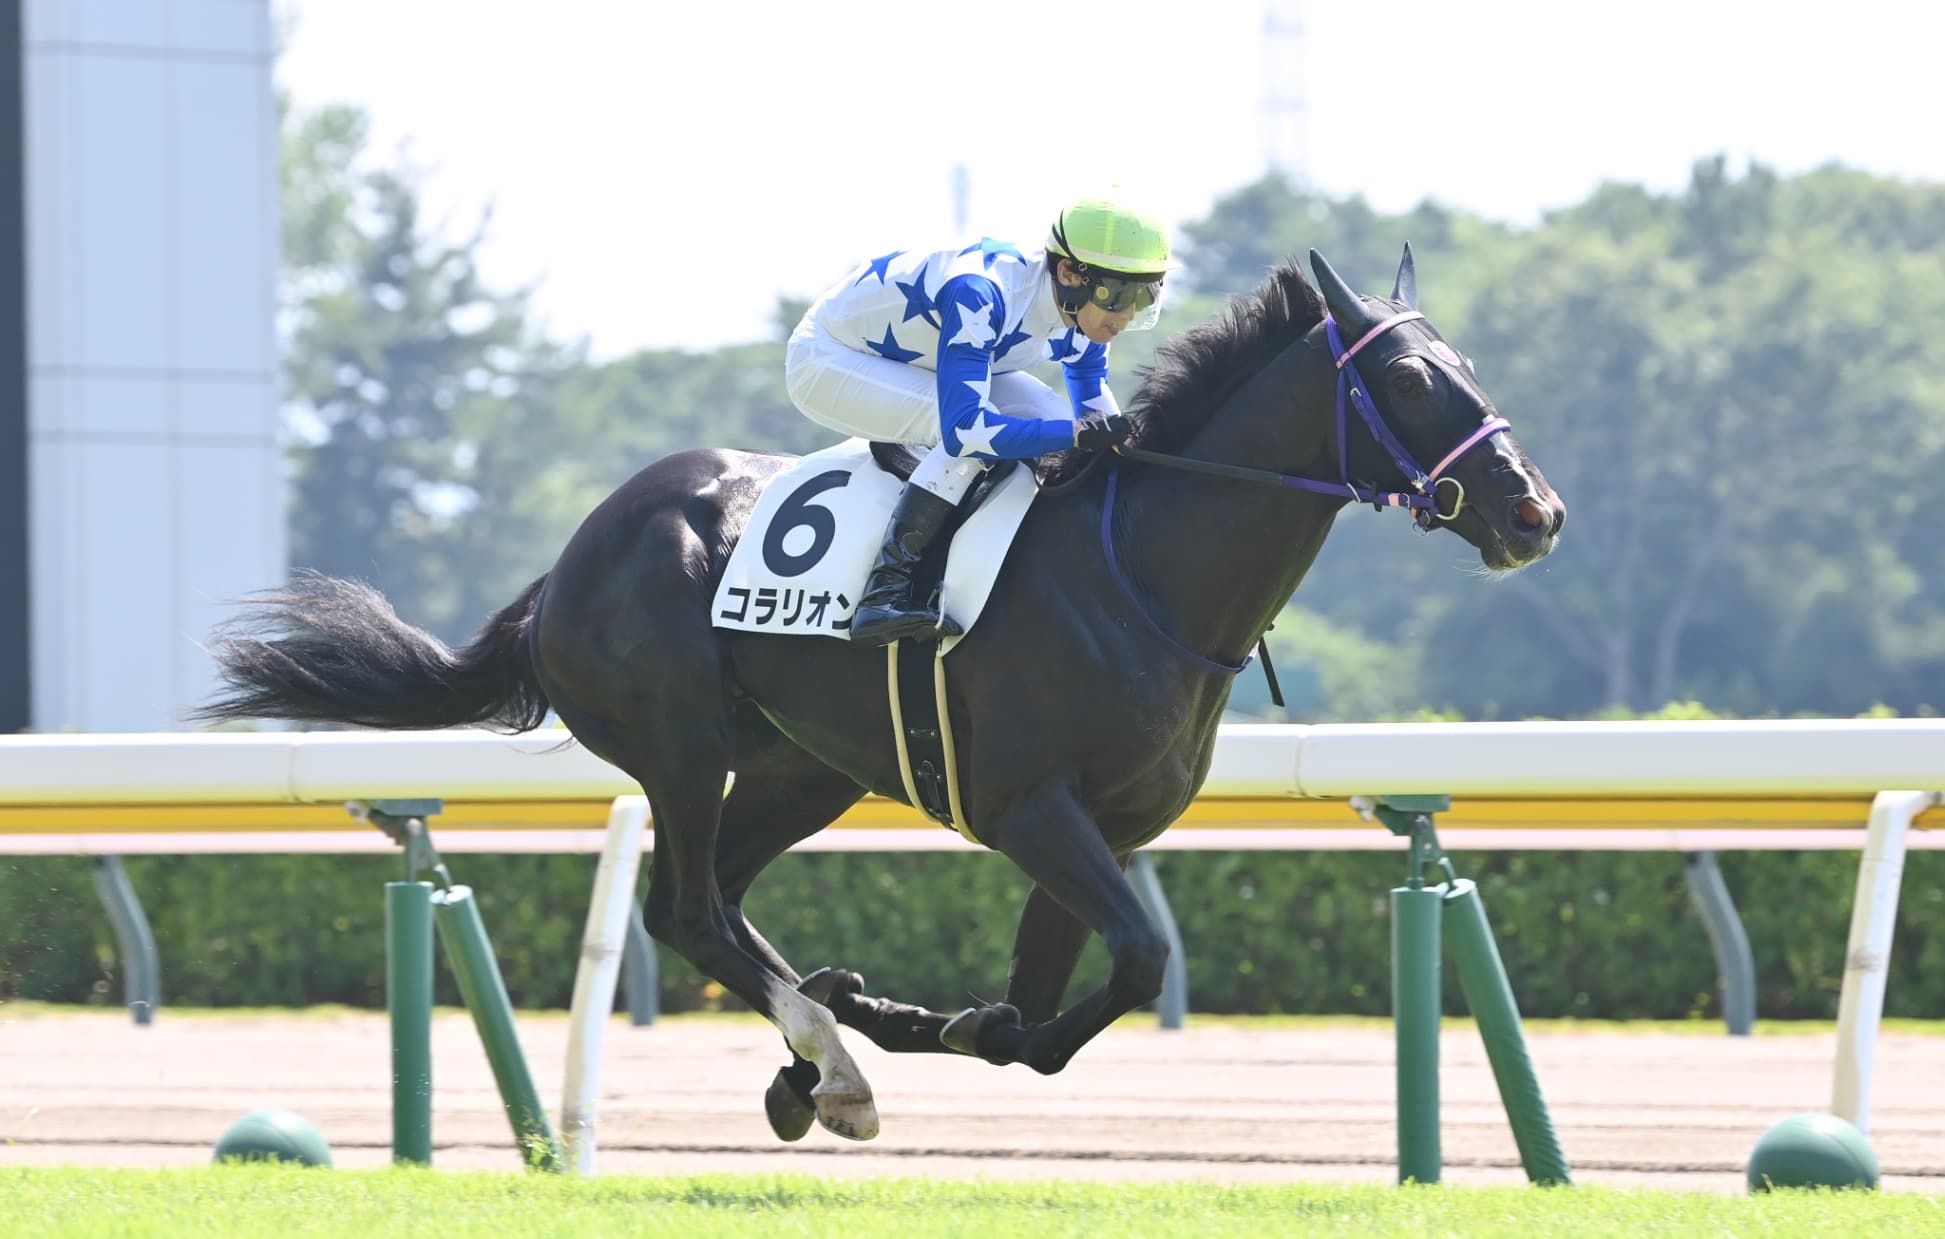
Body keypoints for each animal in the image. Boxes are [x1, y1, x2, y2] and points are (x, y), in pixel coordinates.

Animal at [196, 248, 1565, 1143]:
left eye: (1462, 366)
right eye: (1409, 384)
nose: (1532, 514)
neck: (1142, 572)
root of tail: (569, 561)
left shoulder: (1103, 827)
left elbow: (1061, 987)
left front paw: (911, 1013)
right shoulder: (1031, 809)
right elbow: (1116, 970)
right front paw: (938, 1026)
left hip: (801, 766)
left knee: (713, 904)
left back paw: (823, 1049)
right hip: (681, 747)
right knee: (688, 909)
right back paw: (831, 1059)